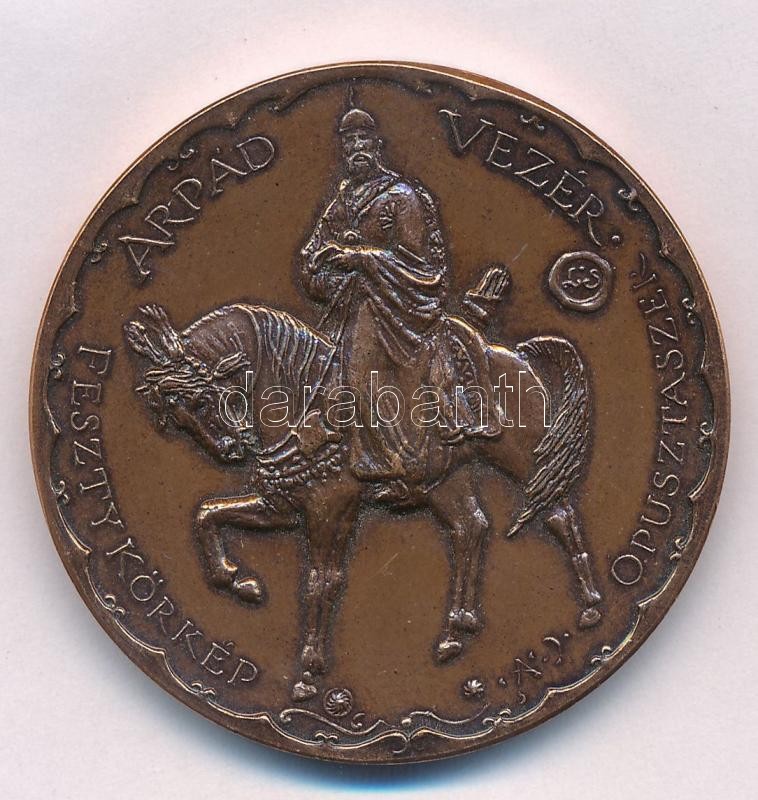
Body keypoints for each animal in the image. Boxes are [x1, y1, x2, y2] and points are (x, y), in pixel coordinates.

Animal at [125, 302, 602, 701]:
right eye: (176, 412)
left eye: (203, 397)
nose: (229, 449)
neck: (306, 401)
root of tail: (517, 356)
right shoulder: (281, 506)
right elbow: (207, 514)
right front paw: (237, 580)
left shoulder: (329, 510)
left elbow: (321, 580)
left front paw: (308, 671)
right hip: (448, 481)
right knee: (472, 527)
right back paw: (457, 630)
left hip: (525, 457)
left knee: (558, 514)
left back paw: (591, 606)